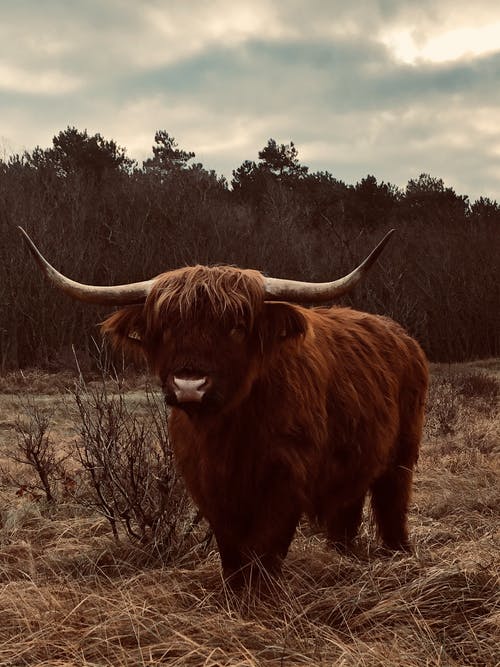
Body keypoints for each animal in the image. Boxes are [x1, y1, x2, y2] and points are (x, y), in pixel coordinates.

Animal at [18, 228, 426, 584]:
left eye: (236, 327)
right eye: (166, 327)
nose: (189, 385)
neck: (227, 435)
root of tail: (403, 337)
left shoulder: (285, 483)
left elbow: (265, 554)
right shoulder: (207, 487)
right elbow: (231, 554)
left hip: (402, 456)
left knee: (392, 507)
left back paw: (399, 556)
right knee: (347, 516)